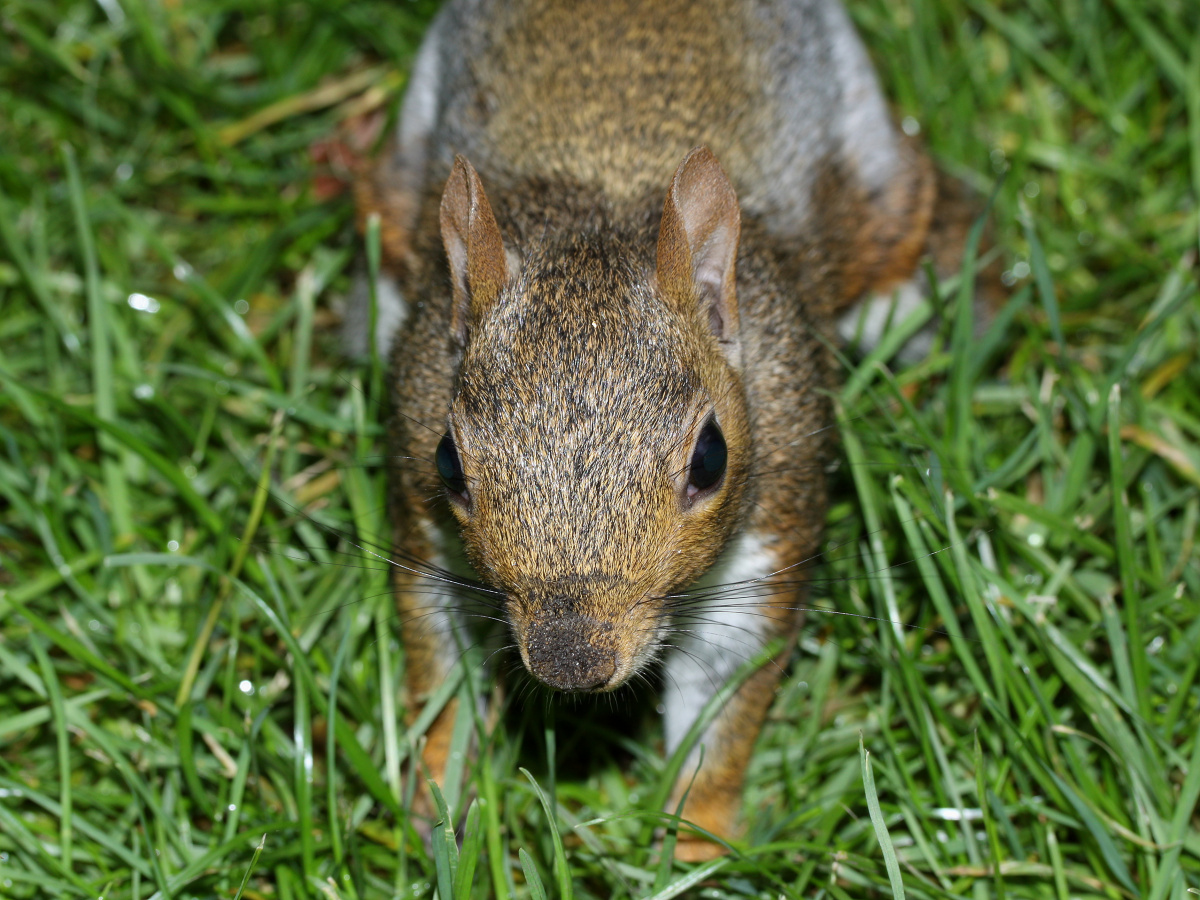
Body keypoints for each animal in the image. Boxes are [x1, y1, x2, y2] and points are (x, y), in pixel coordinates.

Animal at [350, 0, 988, 864]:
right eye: (448, 463)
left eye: (711, 458)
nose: (571, 663)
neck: (605, 199)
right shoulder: (424, 524)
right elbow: (440, 662)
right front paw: (440, 799)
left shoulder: (771, 523)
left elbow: (723, 695)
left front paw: (695, 843)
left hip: (873, 174)